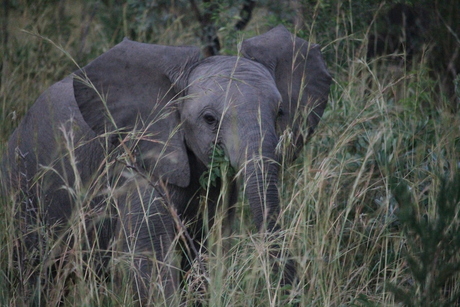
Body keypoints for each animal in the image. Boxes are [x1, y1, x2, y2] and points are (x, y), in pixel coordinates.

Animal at [0, 24, 330, 306]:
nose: (292, 291)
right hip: (22, 189)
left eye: (280, 112)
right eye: (209, 119)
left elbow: (209, 249)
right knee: (34, 268)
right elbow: (149, 257)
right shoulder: (137, 165)